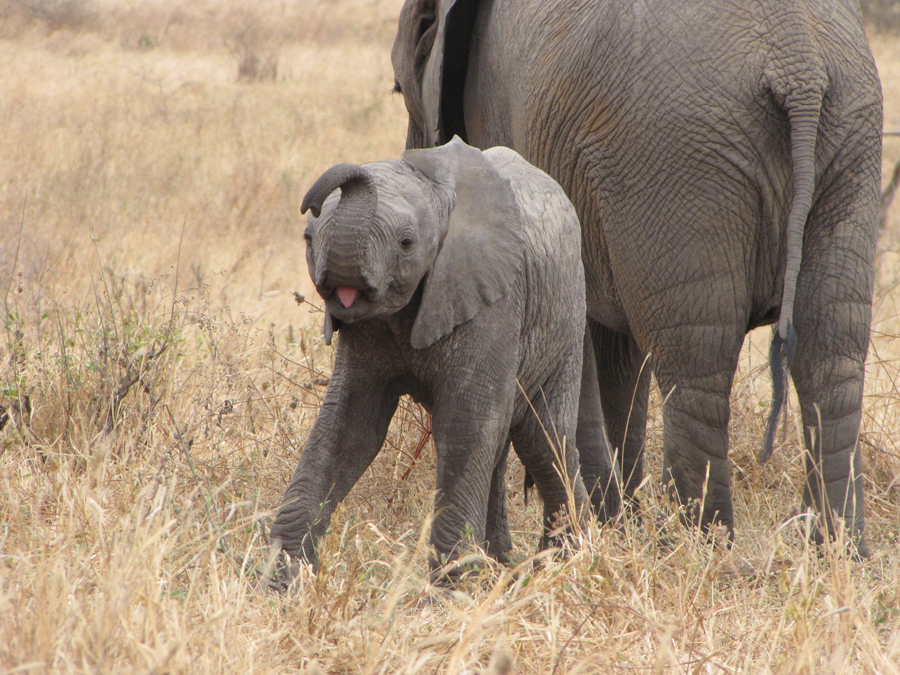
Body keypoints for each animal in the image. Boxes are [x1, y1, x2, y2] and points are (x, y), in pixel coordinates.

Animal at [268, 136, 604, 580]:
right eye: (307, 239)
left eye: (406, 242)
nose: (311, 200)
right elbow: (349, 427)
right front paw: (278, 584)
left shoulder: (493, 300)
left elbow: (465, 427)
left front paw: (451, 590)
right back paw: (504, 567)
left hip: (565, 317)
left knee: (542, 437)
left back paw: (566, 565)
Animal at [392, 0, 880, 556]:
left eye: (399, 90)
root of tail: (798, 63)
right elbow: (615, 351)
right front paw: (616, 525)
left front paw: (594, 533)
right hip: (847, 146)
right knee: (831, 354)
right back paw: (836, 554)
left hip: (677, 158)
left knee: (696, 365)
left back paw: (701, 549)